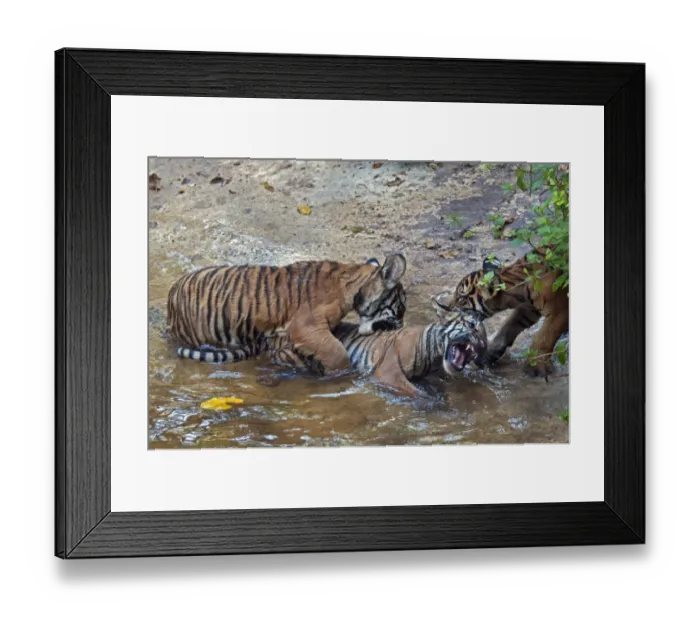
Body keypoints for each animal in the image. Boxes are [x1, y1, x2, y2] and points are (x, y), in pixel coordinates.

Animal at [167, 254, 407, 374]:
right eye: (402, 308)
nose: (402, 327)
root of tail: (172, 294)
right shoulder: (306, 327)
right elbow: (338, 353)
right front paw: (340, 374)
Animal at [266, 303, 488, 397]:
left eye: (485, 335)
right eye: (471, 325)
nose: (483, 348)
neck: (434, 355)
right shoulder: (388, 373)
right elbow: (416, 392)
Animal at [435, 251, 568, 376]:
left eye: (461, 299)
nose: (443, 306)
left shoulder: (559, 310)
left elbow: (544, 337)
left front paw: (535, 367)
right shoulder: (529, 309)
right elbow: (507, 327)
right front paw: (489, 354)